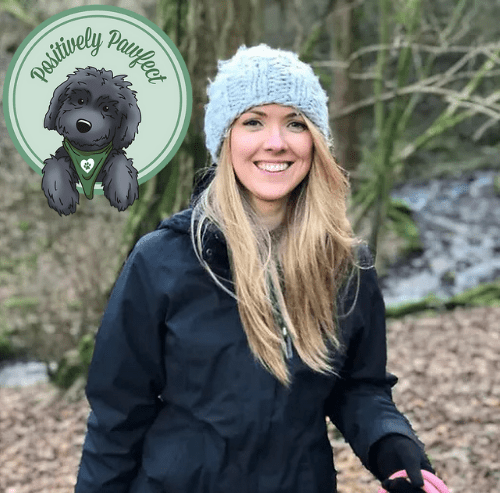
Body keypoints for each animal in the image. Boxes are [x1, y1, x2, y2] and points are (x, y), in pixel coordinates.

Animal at [43, 66, 141, 214]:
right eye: (80, 101)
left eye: (106, 108)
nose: (83, 124)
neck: (86, 151)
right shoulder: (63, 155)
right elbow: (56, 166)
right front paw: (62, 198)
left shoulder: (113, 153)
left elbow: (120, 162)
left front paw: (123, 190)